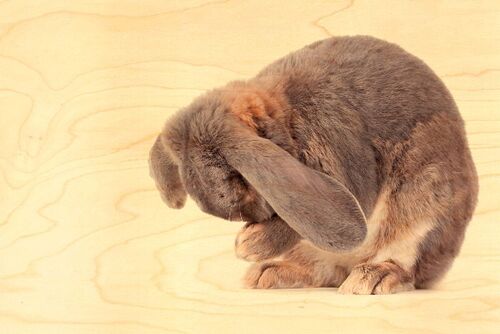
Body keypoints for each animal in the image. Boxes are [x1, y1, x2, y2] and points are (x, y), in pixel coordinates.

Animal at [148, 35, 476, 294]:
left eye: (236, 183)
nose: (251, 223)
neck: (286, 118)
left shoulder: (340, 152)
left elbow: (302, 223)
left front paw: (249, 245)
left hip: (426, 206)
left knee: (406, 264)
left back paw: (374, 277)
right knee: (323, 270)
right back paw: (268, 273)